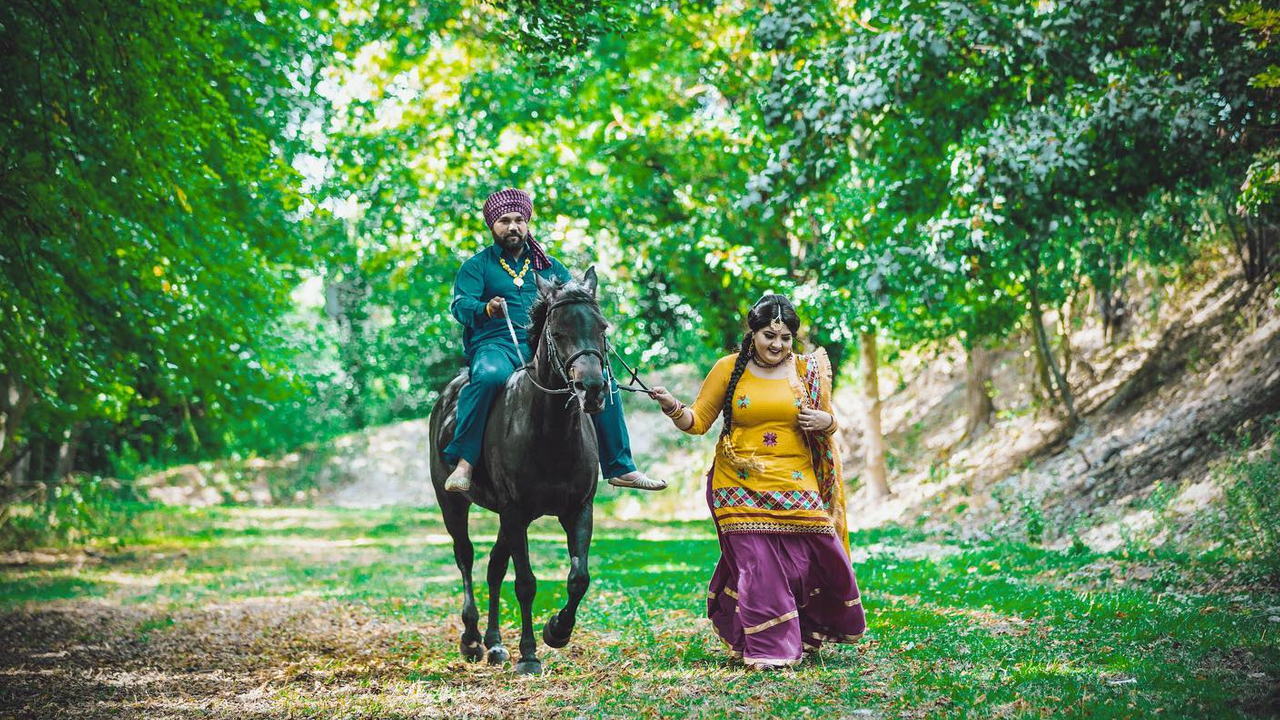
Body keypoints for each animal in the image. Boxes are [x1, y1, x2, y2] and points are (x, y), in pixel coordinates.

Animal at [430, 266, 609, 671]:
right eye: (557, 332)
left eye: (602, 327)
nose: (591, 389)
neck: (550, 434)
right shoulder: (515, 511)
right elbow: (526, 583)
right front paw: (529, 653)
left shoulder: (578, 509)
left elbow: (579, 577)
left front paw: (557, 630)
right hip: (454, 505)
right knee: (466, 557)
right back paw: (472, 638)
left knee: (495, 567)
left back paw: (496, 644)